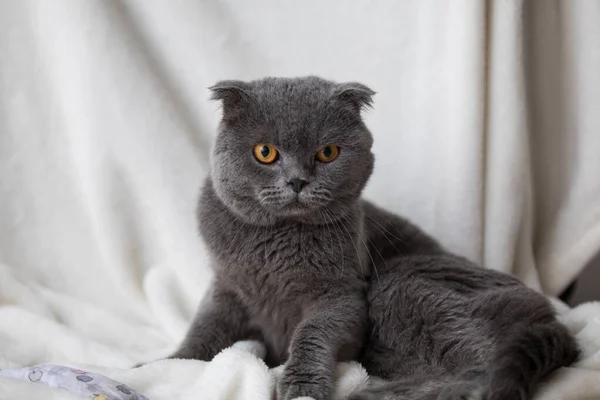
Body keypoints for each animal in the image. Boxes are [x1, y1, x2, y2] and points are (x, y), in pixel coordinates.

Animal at [170, 76, 580, 400]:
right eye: (265, 152)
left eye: (328, 152)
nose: (298, 181)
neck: (273, 245)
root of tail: (553, 321)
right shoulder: (226, 285)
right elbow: (205, 328)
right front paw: (168, 363)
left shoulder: (344, 296)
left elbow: (311, 331)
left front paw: (301, 387)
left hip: (399, 282)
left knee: (482, 367)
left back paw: (376, 396)